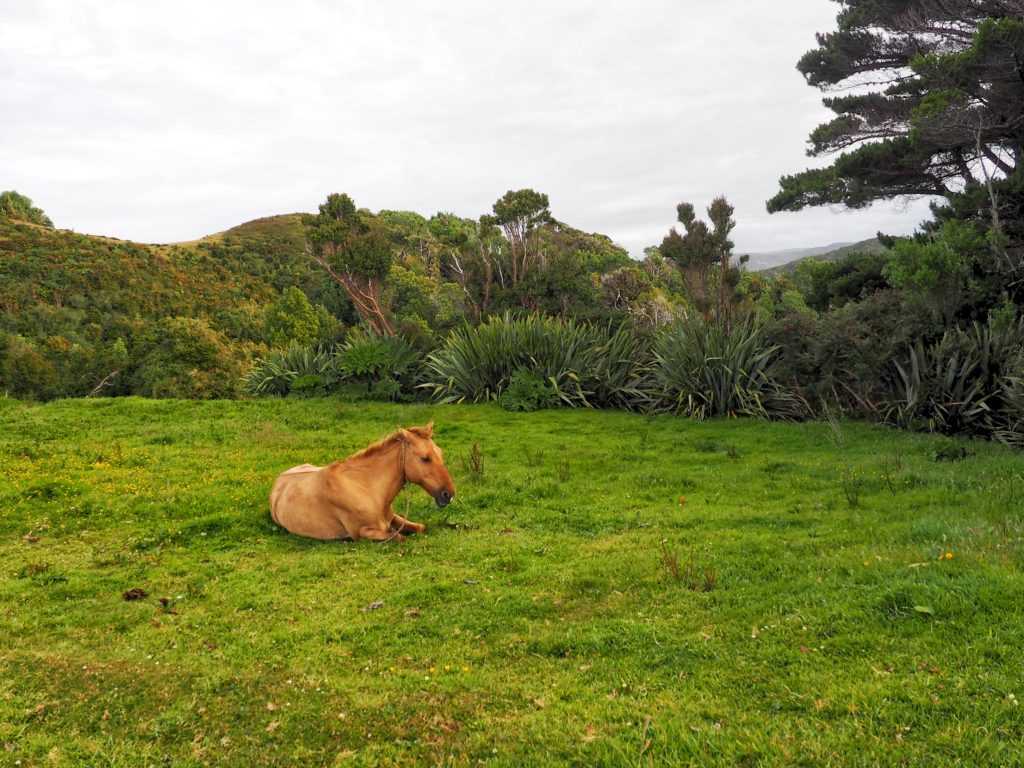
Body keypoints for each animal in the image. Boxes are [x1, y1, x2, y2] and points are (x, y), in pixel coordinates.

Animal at [268, 423, 456, 544]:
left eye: (440, 453)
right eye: (425, 458)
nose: (448, 495)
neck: (367, 489)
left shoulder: (393, 519)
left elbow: (421, 527)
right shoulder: (363, 532)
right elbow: (398, 536)